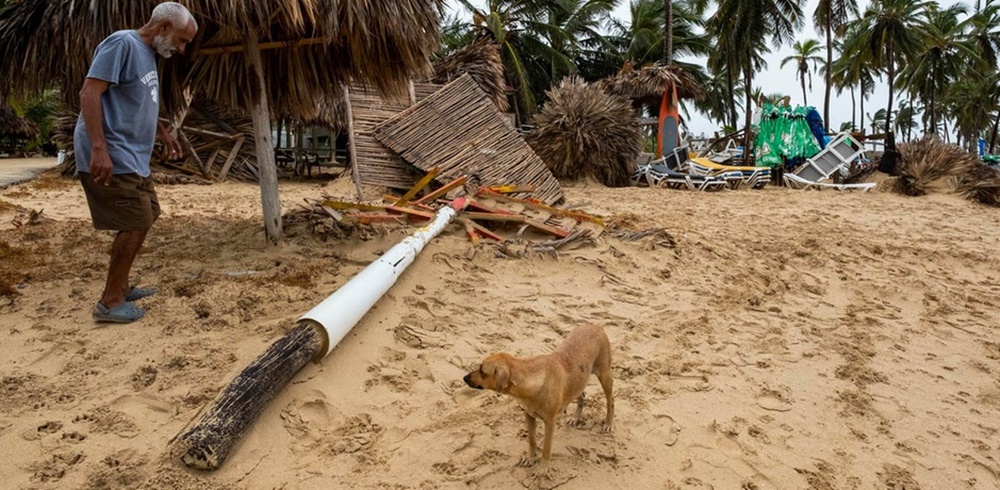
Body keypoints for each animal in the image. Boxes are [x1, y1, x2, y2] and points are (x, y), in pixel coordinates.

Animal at [464, 326, 612, 470]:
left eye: (482, 371)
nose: (464, 378)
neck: (530, 380)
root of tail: (596, 326)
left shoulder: (550, 422)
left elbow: (546, 448)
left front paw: (542, 469)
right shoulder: (528, 415)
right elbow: (532, 440)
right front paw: (531, 458)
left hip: (604, 375)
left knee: (611, 402)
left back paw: (608, 423)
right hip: (578, 381)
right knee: (581, 395)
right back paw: (576, 418)